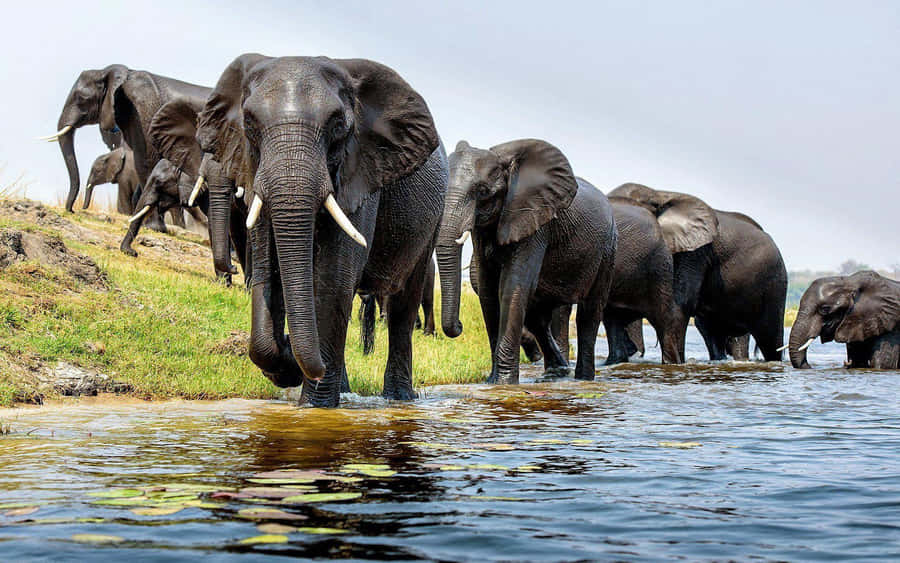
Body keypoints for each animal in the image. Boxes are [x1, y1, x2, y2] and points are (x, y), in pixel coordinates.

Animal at [195, 54, 448, 406]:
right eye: (249, 124)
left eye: (338, 124)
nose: (290, 345)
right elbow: (267, 272)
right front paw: (287, 365)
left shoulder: (361, 171)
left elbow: (332, 281)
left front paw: (313, 405)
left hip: (432, 219)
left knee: (403, 304)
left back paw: (398, 399)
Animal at [436, 139, 617, 384]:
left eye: (483, 192)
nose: (459, 325)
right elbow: (488, 291)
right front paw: (492, 382)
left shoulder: (535, 221)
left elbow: (512, 286)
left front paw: (504, 383)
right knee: (537, 318)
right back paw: (557, 371)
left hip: (607, 251)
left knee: (589, 312)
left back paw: (582, 379)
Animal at [608, 183, 787, 362]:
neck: (659, 194)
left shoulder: (696, 252)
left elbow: (681, 303)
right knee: (711, 330)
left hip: (775, 284)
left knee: (770, 339)